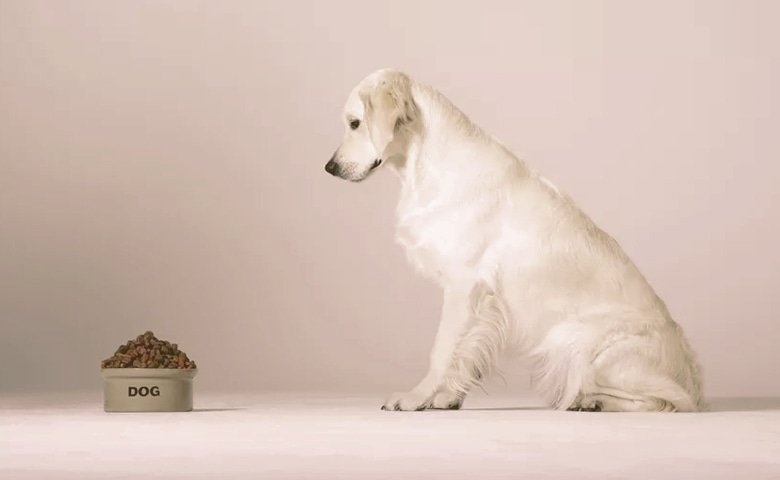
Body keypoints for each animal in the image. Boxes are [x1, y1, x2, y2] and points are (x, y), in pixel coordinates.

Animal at [326, 68, 704, 412]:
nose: (330, 168)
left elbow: (442, 349)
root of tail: (691, 373)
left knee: (666, 402)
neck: (427, 164)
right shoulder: (482, 299)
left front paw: (415, 398)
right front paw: (446, 398)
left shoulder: (463, 283)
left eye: (355, 123)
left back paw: (590, 401)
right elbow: (466, 351)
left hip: (582, 346)